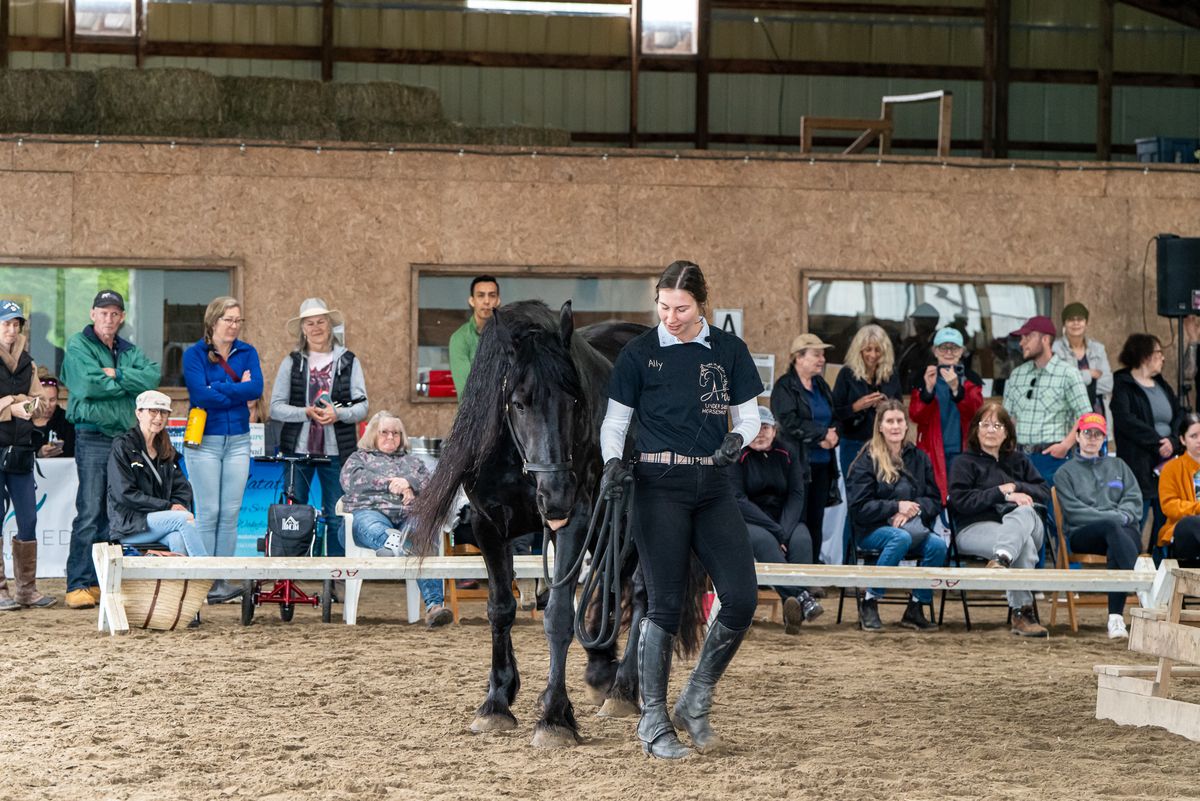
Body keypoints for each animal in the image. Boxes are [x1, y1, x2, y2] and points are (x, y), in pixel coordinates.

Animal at [412, 298, 700, 743]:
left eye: (576, 401)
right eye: (518, 402)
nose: (558, 495)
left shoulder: (575, 524)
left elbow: (560, 615)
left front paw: (554, 715)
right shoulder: (487, 526)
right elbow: (501, 608)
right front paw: (497, 699)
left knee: (640, 595)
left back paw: (622, 688)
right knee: (613, 584)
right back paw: (600, 668)